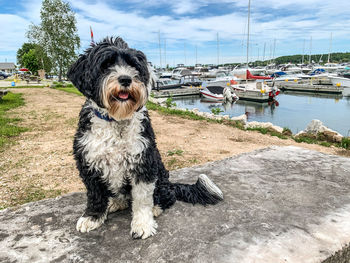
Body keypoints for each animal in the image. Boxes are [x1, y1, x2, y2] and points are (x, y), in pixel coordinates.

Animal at [67, 37, 223, 241]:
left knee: (167, 197)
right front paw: (92, 217)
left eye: (133, 65)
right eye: (106, 65)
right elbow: (95, 194)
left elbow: (142, 199)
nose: (126, 79)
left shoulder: (143, 162)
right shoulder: (88, 161)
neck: (117, 119)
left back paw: (156, 208)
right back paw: (115, 202)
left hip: (161, 178)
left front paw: (142, 224)